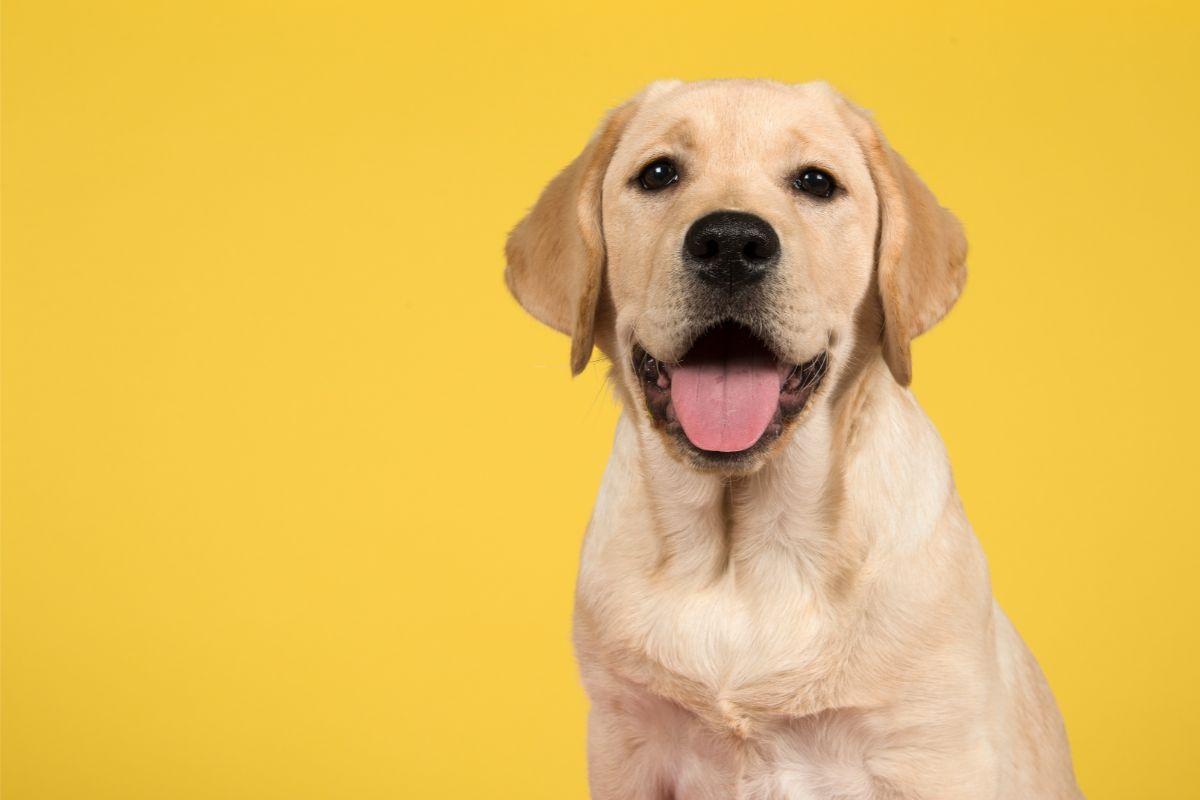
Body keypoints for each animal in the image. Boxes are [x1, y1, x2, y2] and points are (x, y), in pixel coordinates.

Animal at [501, 81, 1084, 800]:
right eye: (659, 173)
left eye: (815, 182)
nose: (729, 243)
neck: (742, 559)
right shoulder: (625, 738)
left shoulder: (932, 750)